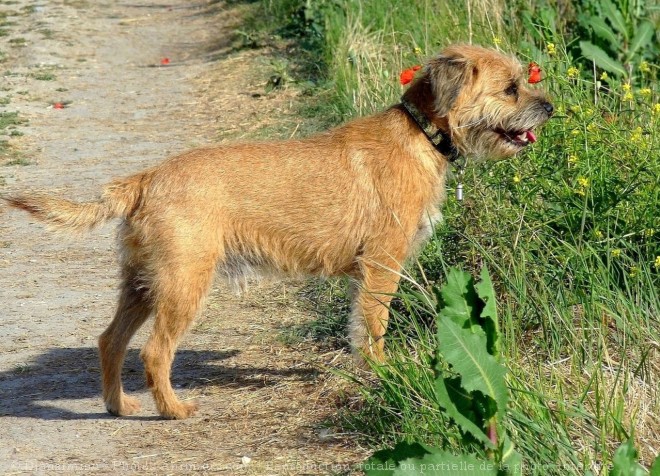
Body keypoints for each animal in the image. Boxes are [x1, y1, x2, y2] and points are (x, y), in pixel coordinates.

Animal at [3, 43, 552, 416]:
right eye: (510, 88)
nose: (547, 107)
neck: (420, 134)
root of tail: (145, 179)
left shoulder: (365, 273)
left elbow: (357, 325)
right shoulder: (382, 265)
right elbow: (375, 324)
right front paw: (383, 371)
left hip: (141, 284)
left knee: (110, 340)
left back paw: (119, 406)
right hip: (183, 285)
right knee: (154, 351)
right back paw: (173, 410)